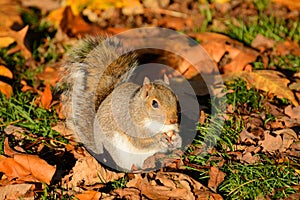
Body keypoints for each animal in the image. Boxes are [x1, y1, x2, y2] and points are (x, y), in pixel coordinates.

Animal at [62, 35, 182, 171]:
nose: (173, 120)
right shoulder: (130, 125)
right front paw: (159, 138)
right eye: (154, 104)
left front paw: (177, 139)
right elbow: (141, 142)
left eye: (176, 99)